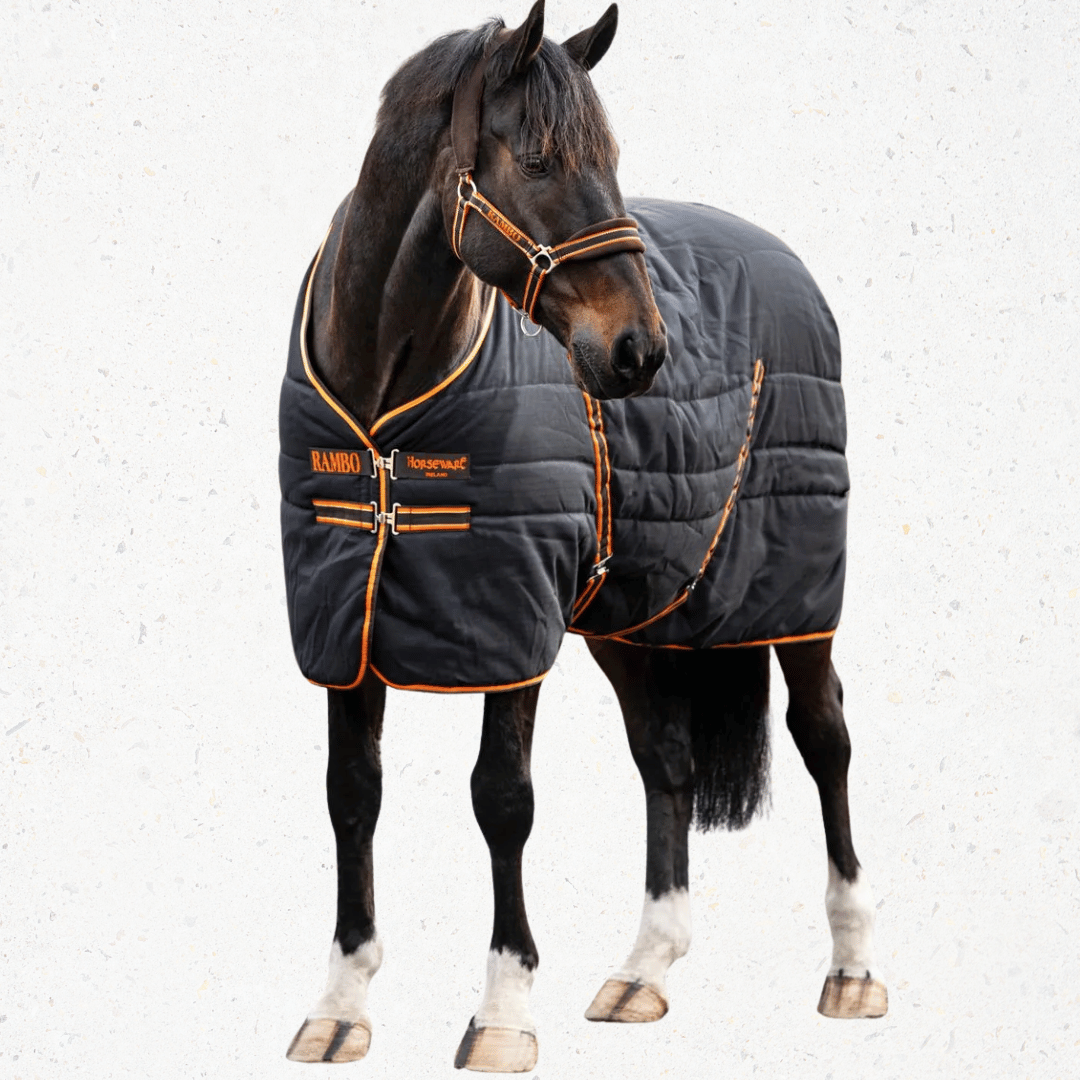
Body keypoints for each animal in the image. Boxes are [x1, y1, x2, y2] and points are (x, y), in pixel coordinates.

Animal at [278, 2, 887, 1071]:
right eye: (538, 160)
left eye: (611, 158)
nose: (641, 351)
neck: (386, 410)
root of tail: (785, 261)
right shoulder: (344, 619)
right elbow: (351, 793)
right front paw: (340, 1007)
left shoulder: (510, 621)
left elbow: (501, 801)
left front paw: (504, 1015)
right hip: (635, 610)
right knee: (667, 761)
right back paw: (645, 970)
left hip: (797, 592)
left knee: (827, 740)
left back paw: (852, 969)